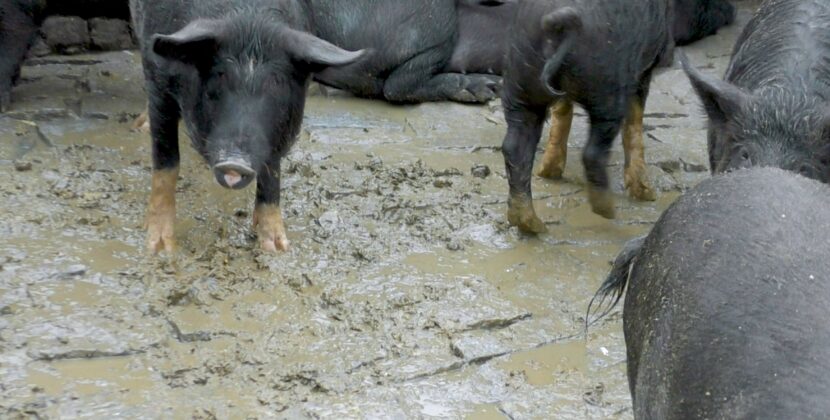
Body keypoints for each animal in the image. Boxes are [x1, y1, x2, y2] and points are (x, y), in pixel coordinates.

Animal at [130, 0, 367, 253]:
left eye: (277, 83)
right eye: (220, 75)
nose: (235, 163)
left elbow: (272, 170)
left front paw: (277, 248)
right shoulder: (158, 79)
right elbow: (167, 163)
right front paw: (159, 247)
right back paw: (141, 126)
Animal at [500, 0, 673, 233]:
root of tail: (561, 23)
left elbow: (561, 112)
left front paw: (548, 172)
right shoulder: (643, 70)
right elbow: (634, 121)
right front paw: (646, 195)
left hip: (520, 83)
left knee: (514, 146)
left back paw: (532, 224)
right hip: (608, 88)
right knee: (593, 152)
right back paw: (608, 210)